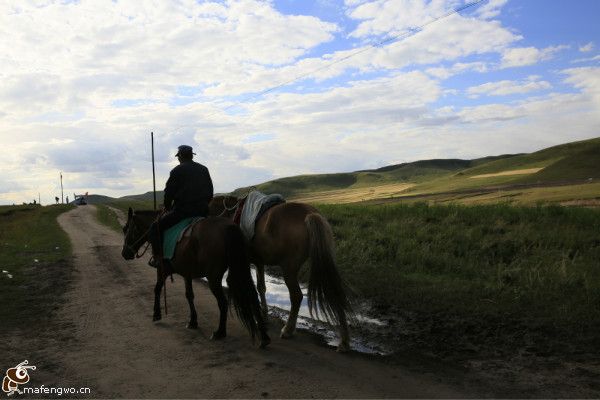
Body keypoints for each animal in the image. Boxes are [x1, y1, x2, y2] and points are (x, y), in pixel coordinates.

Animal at [120, 208, 270, 348]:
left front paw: (156, 314)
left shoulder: (162, 270)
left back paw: (220, 332)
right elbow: (189, 295)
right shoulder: (187, 273)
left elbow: (157, 289)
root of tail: (228, 227)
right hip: (240, 268)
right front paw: (193, 321)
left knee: (223, 302)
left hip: (214, 278)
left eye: (126, 229)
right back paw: (264, 337)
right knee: (251, 295)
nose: (124, 253)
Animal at [210, 195, 354, 352]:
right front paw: (264, 314)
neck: (232, 214)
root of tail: (310, 213)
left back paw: (288, 330)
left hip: (289, 268)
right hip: (324, 260)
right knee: (334, 292)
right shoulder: (259, 262)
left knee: (297, 296)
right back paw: (344, 341)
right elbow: (261, 287)